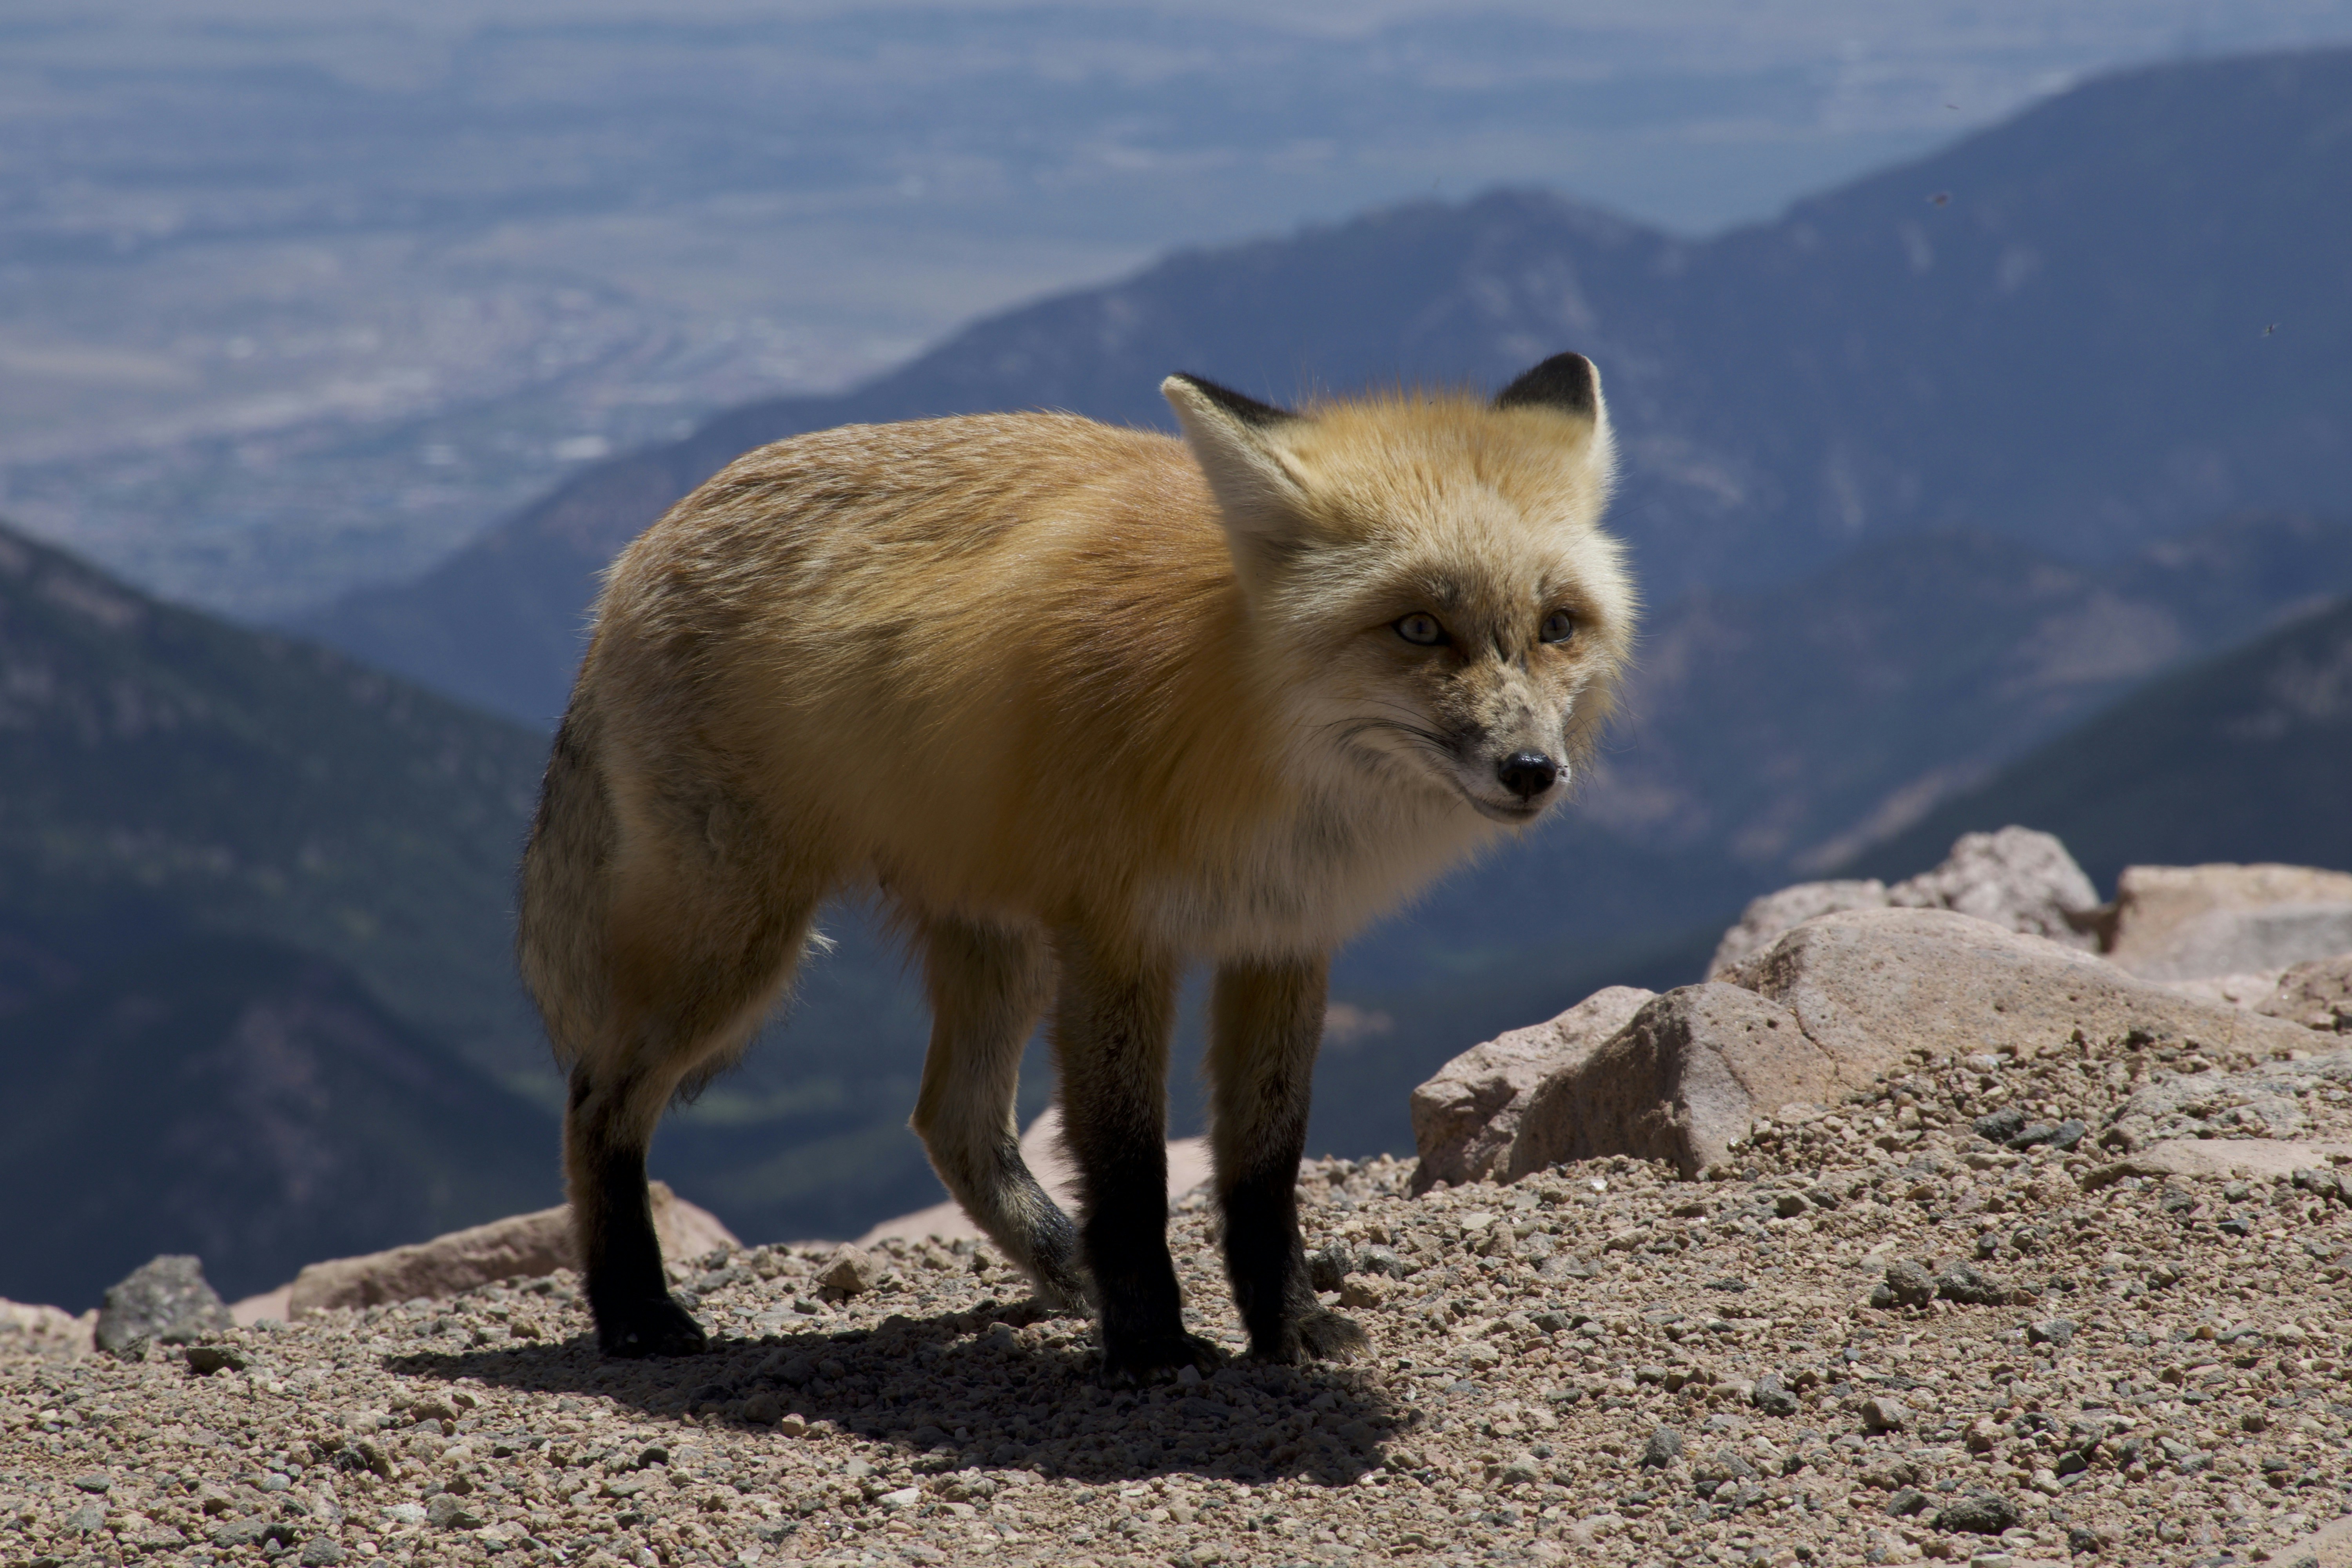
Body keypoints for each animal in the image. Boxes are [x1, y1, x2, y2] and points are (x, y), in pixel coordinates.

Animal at [516, 352, 1635, 1382]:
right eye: (1418, 628)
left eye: (1555, 626)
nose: (1532, 771)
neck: (1248, 739)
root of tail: (637, 555)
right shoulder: (1117, 939)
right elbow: (1131, 1167)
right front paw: (1150, 1344)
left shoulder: (1281, 936)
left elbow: (1265, 1169)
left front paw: (1289, 1328)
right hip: (741, 946)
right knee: (597, 1096)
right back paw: (633, 1312)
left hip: (998, 946)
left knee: (952, 1122)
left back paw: (1065, 1272)